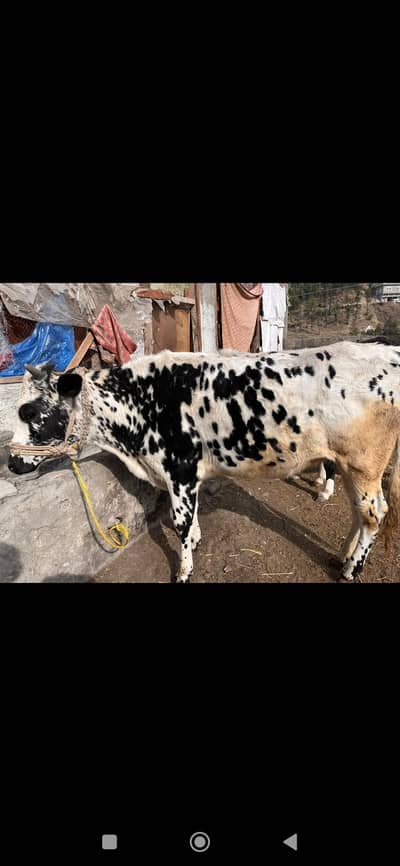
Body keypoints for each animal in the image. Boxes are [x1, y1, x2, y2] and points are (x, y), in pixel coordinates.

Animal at [7, 341, 400, 583]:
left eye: (29, 411)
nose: (11, 462)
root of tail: (386, 350)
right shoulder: (181, 474)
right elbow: (187, 519)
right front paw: (194, 542)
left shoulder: (179, 469)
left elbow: (179, 521)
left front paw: (183, 570)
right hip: (349, 465)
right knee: (360, 512)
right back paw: (345, 555)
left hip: (364, 465)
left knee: (373, 514)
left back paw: (351, 570)